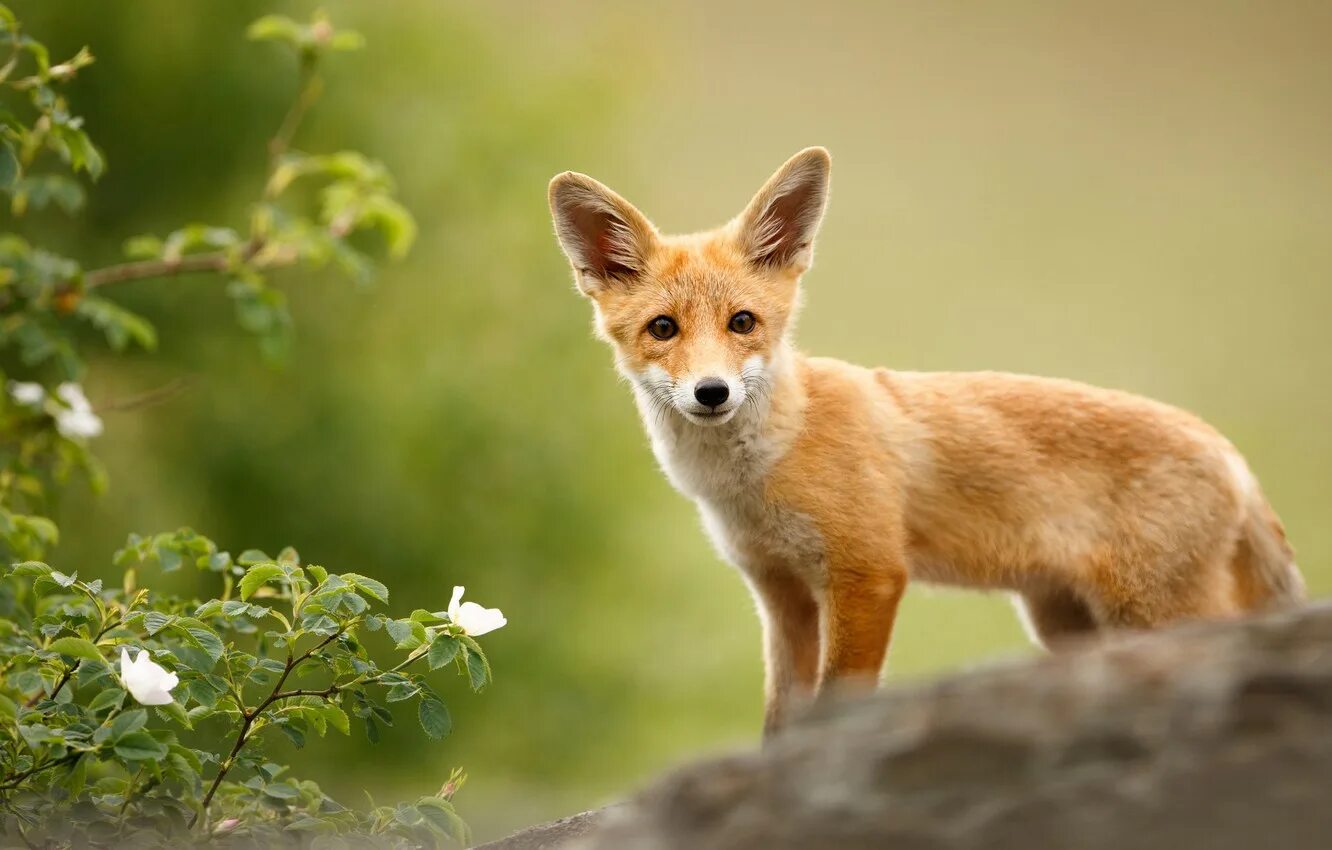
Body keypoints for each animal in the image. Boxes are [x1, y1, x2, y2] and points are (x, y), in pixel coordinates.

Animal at [547, 147, 1304, 738]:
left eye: (743, 322)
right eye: (664, 329)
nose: (712, 393)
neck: (758, 476)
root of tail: (1229, 451)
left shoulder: (868, 575)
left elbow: (835, 700)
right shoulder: (780, 594)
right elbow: (780, 721)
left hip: (1155, 614)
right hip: (1066, 624)